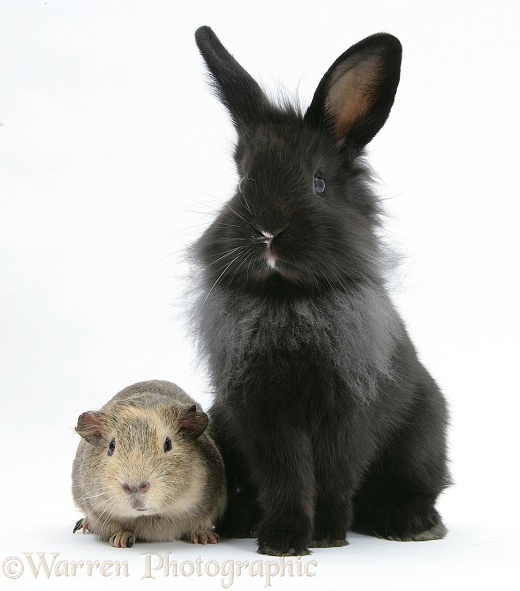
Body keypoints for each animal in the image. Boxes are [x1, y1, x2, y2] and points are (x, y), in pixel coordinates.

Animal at [189, 25, 448, 556]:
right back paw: (238, 522)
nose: (268, 232)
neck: (289, 302)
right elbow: (286, 475)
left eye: (319, 183)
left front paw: (326, 535)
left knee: (417, 487)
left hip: (423, 438)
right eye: (243, 180)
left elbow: (332, 473)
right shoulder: (262, 411)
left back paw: (412, 523)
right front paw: (284, 539)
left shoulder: (345, 409)